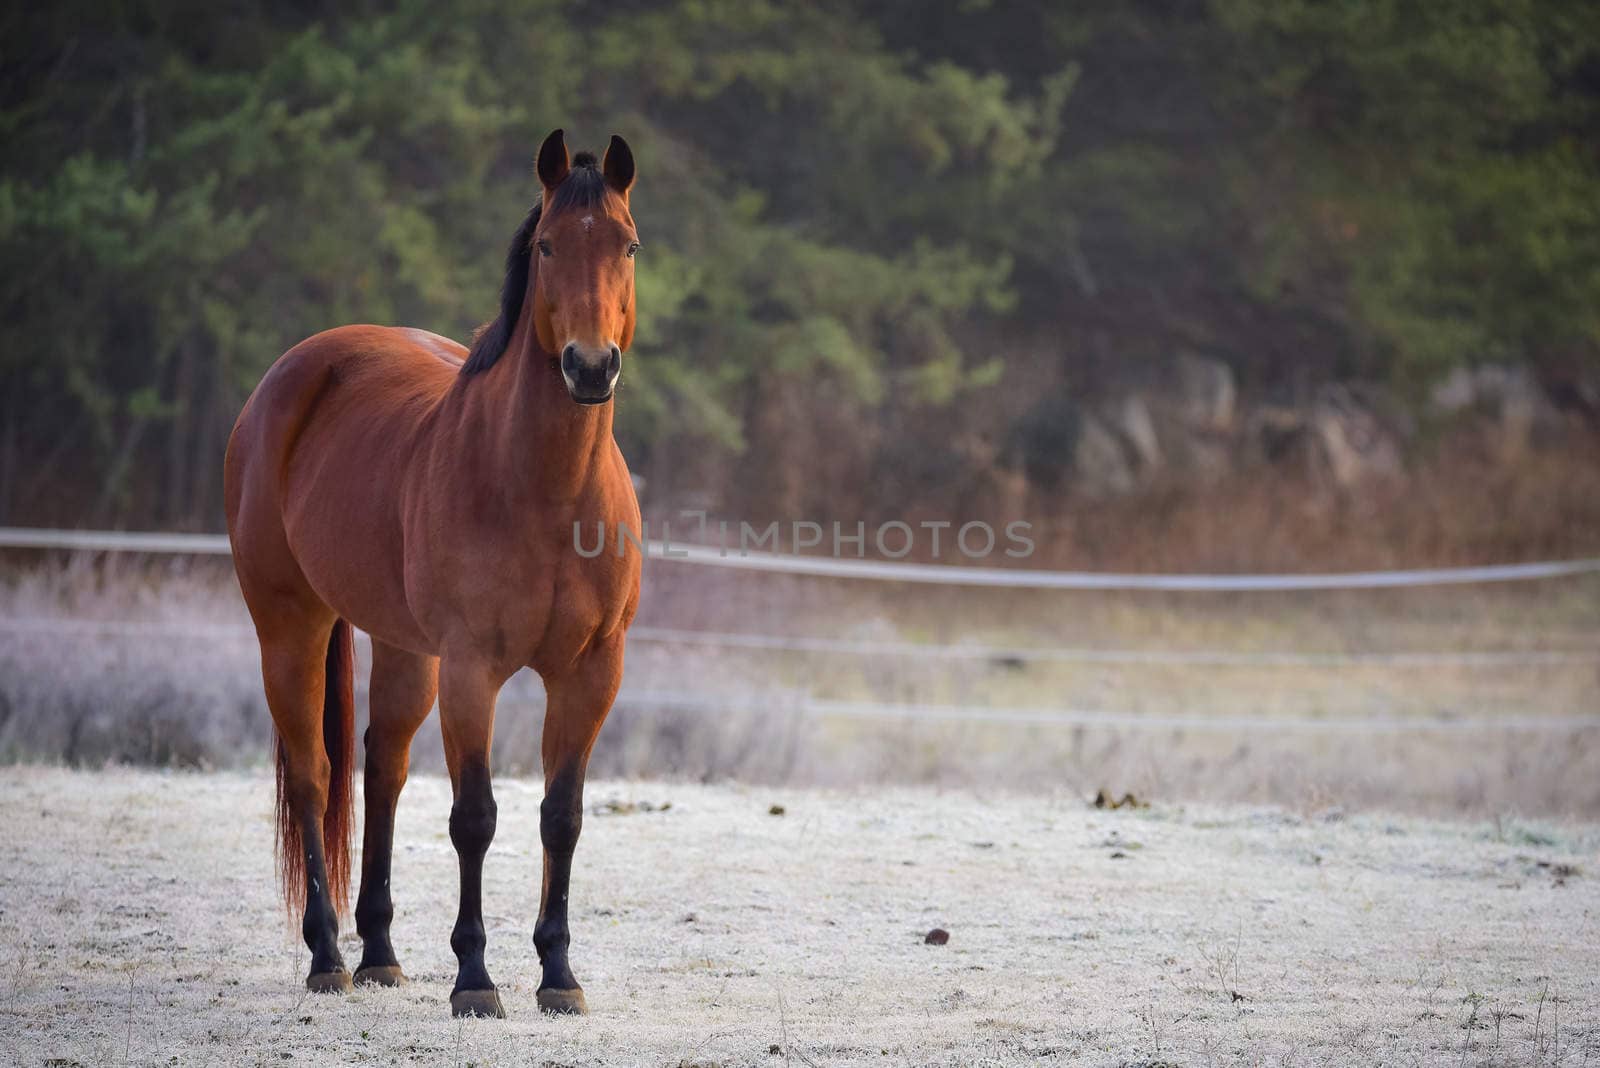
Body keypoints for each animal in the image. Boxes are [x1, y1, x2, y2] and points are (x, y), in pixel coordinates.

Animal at [220, 129, 643, 1016]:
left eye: (628, 244)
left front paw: (558, 975)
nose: (591, 367)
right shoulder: (474, 669)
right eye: (548, 245)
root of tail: (297, 372)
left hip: (406, 648)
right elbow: (474, 816)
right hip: (290, 625)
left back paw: (380, 953)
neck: (546, 490)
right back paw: (327, 957)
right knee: (314, 777)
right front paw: (476, 980)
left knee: (381, 767)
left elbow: (562, 815)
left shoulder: (593, 671)